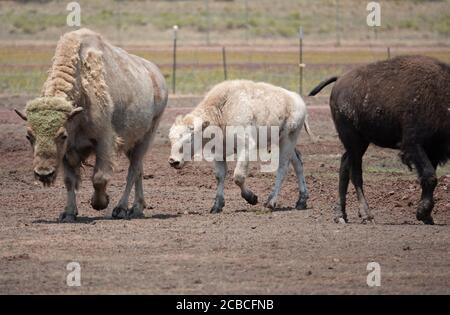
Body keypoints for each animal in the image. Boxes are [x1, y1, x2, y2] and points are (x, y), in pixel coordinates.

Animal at [15, 29, 169, 222]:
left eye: (62, 135)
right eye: (29, 136)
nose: (44, 174)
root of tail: (156, 75)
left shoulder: (103, 140)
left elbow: (99, 177)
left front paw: (100, 203)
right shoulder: (68, 151)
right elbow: (69, 180)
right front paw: (68, 213)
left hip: (147, 136)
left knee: (133, 171)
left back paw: (121, 209)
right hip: (131, 143)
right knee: (139, 170)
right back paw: (137, 209)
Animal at [169, 79, 312, 214]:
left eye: (189, 139)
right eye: (170, 139)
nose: (173, 161)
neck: (223, 111)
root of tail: (298, 100)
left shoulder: (247, 147)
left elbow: (238, 177)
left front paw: (252, 198)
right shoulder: (218, 153)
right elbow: (220, 176)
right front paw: (217, 206)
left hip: (287, 140)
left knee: (282, 168)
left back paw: (271, 202)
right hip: (285, 142)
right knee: (298, 163)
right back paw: (301, 201)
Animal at [310, 55, 450, 226]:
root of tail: (340, 80)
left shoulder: (434, 150)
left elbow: (429, 177)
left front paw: (426, 216)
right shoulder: (413, 145)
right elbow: (430, 176)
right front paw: (423, 214)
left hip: (360, 143)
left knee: (345, 166)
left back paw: (341, 215)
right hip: (353, 140)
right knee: (355, 174)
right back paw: (366, 215)